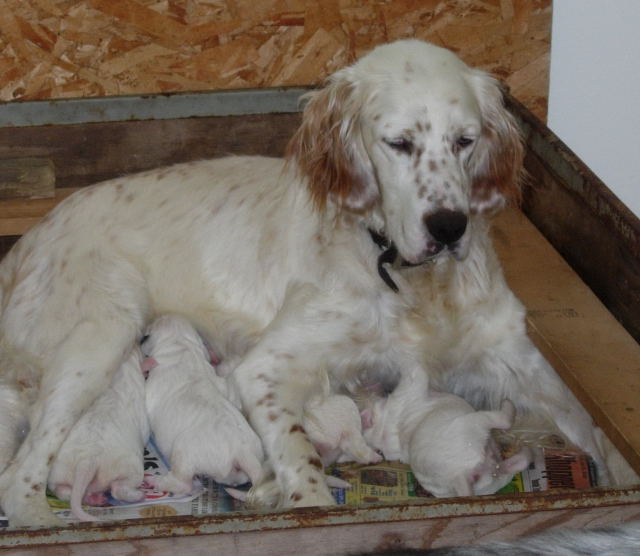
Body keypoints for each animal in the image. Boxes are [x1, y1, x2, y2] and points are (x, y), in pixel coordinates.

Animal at [47, 346, 150, 524]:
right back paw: (138, 495)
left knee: (64, 491)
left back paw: (94, 499)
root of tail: (87, 460)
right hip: (127, 468)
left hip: (58, 473)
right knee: (119, 488)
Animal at [362, 376, 532, 498]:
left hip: (492, 479)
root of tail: (457, 475)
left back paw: (524, 453)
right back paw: (508, 406)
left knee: (511, 465)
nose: (373, 382)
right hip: (475, 422)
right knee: (503, 420)